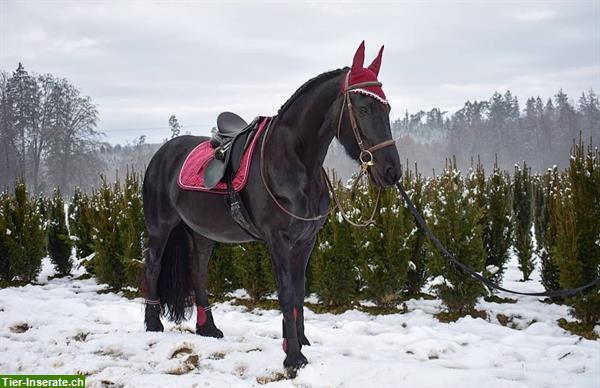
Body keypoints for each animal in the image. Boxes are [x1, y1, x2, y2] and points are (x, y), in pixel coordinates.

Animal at [143, 42, 400, 370]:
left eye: (387, 108)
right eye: (364, 108)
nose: (392, 171)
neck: (293, 161)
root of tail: (162, 154)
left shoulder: (305, 242)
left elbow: (299, 292)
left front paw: (300, 341)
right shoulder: (278, 241)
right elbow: (286, 294)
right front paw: (293, 356)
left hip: (202, 233)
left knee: (198, 271)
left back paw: (208, 328)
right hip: (159, 227)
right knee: (152, 265)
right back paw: (153, 324)